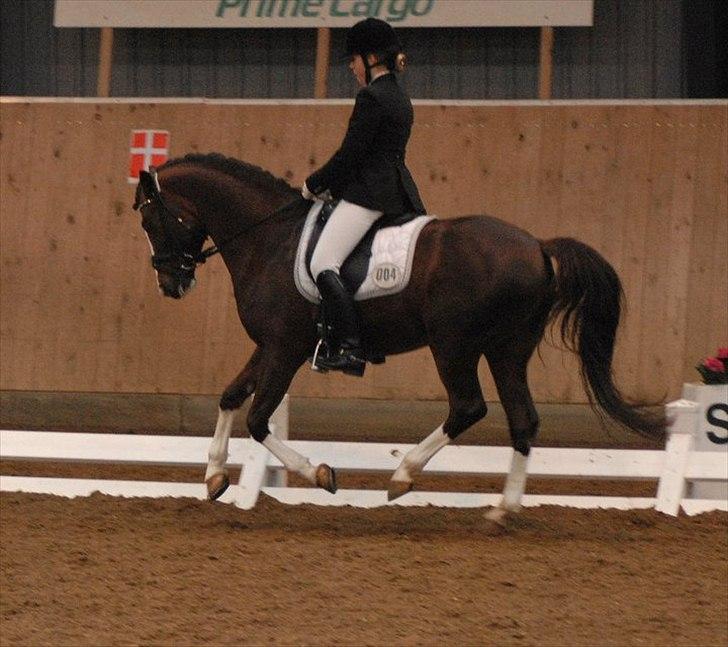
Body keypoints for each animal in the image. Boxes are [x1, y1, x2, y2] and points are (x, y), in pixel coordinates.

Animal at [132, 152, 664, 525]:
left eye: (150, 219)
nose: (170, 284)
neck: (269, 240)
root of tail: (536, 246)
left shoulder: (285, 349)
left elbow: (259, 419)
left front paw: (320, 474)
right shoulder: (270, 344)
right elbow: (229, 397)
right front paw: (214, 476)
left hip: (454, 344)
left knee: (468, 407)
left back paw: (403, 476)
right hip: (507, 350)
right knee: (523, 419)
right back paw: (501, 510)